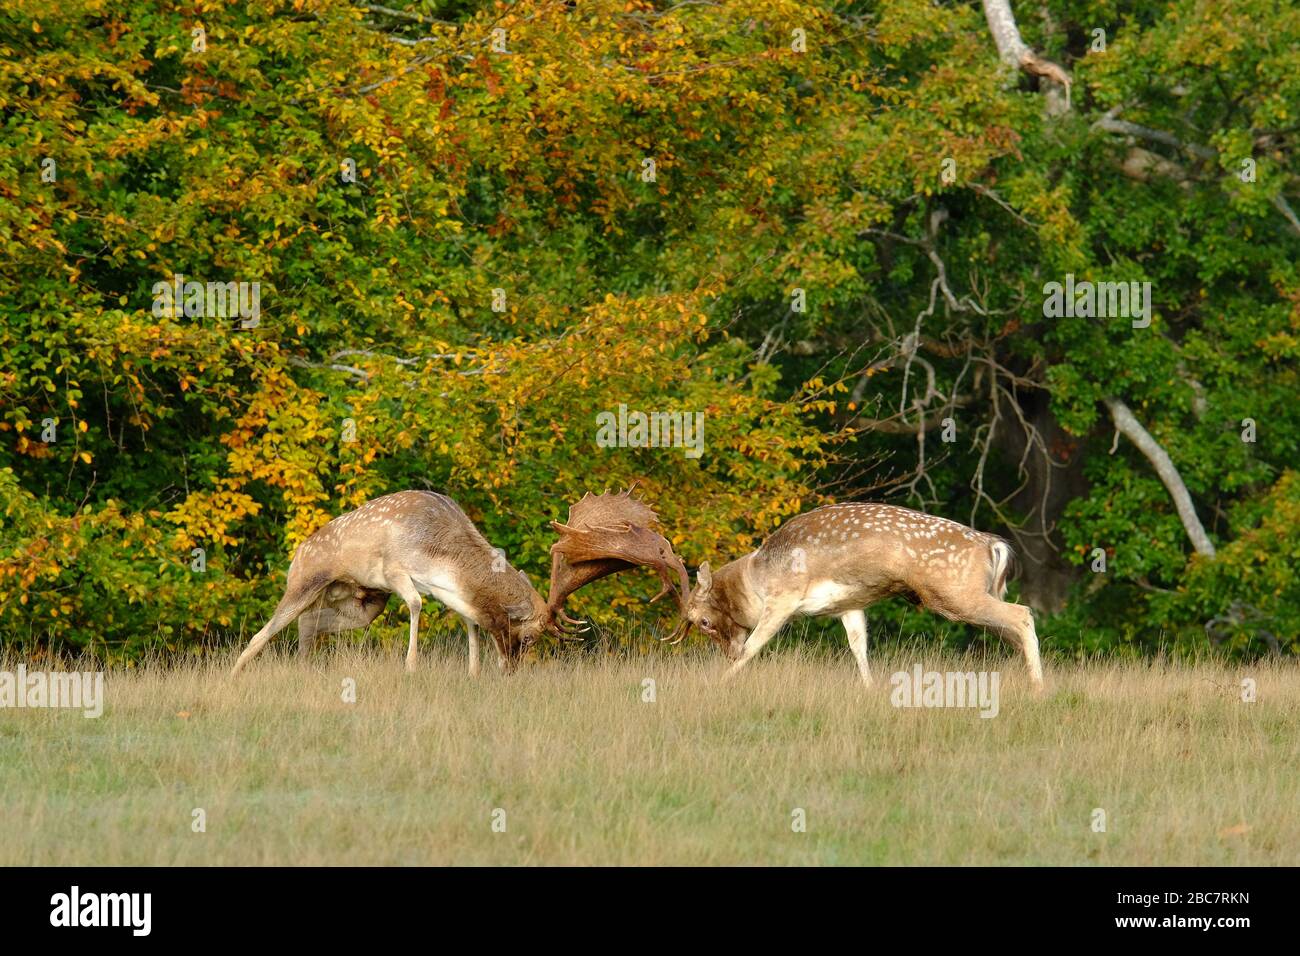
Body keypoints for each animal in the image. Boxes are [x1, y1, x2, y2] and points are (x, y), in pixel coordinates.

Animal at [233, 489, 559, 676]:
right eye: (528, 637)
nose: (512, 670)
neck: (439, 560)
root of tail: (297, 553)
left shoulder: (442, 591)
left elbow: (470, 619)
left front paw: (473, 673)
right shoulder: (393, 571)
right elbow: (415, 603)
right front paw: (411, 667)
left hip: (362, 601)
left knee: (309, 623)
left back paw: (303, 668)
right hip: (304, 583)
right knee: (263, 633)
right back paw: (235, 675)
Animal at [670, 502, 1045, 697]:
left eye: (704, 621)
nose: (727, 653)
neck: (756, 579)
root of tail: (992, 545)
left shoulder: (784, 598)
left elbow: (754, 646)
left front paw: (719, 683)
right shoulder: (849, 605)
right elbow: (859, 647)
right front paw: (870, 689)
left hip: (956, 593)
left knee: (1022, 613)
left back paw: (1039, 687)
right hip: (974, 593)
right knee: (1011, 629)